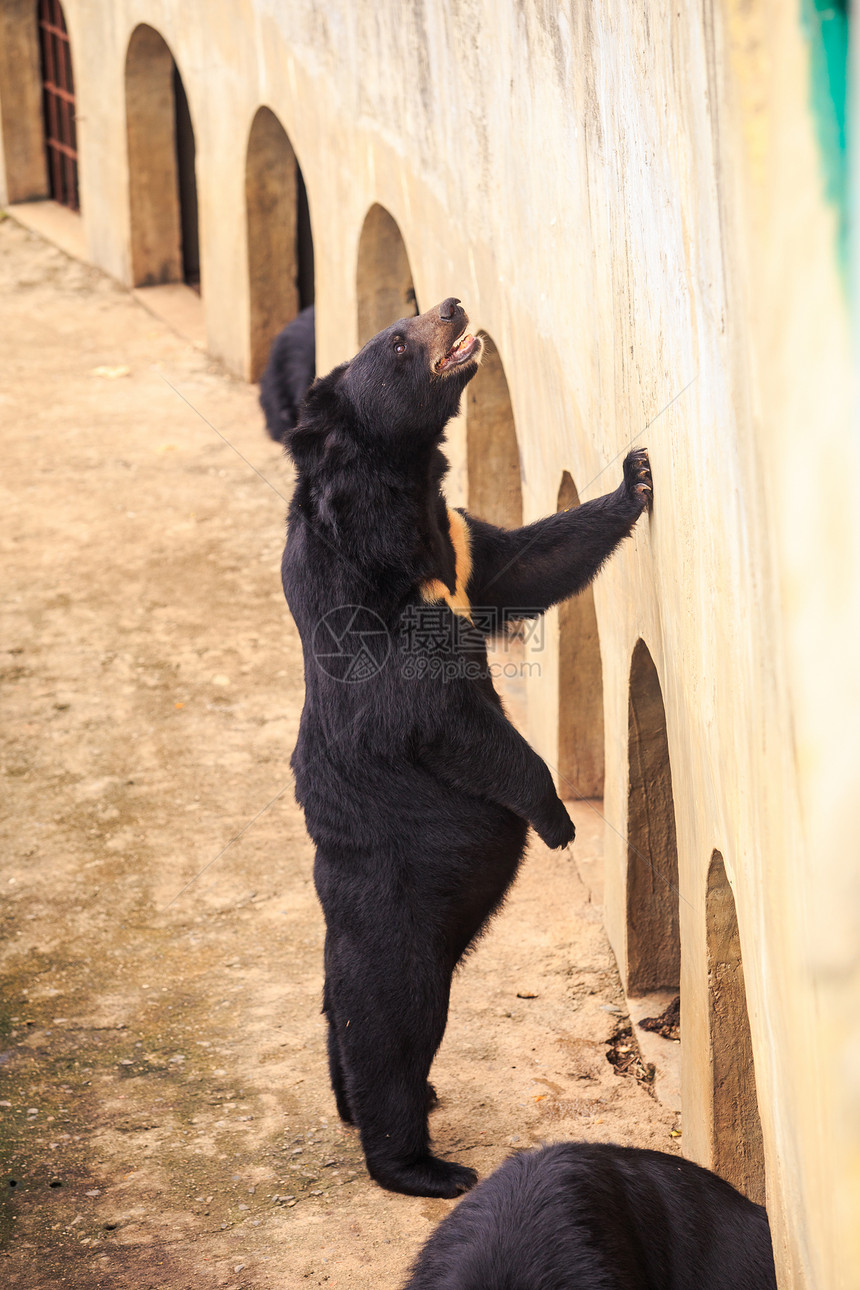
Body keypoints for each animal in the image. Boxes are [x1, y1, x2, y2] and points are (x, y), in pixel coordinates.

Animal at [282, 299, 652, 1197]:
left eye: (410, 316)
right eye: (397, 341)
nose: (452, 305)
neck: (404, 502)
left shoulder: (459, 544)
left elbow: (526, 561)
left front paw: (635, 476)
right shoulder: (377, 606)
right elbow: (443, 717)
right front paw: (557, 819)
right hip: (396, 903)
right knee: (389, 1022)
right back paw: (421, 1163)